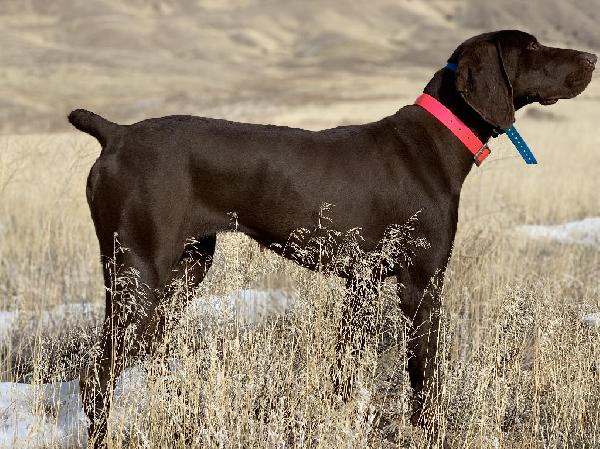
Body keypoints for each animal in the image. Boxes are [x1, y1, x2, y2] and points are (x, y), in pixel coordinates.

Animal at [69, 29, 596, 446]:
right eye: (532, 48)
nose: (592, 59)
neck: (435, 144)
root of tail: (116, 135)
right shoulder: (421, 283)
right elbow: (424, 376)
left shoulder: (362, 283)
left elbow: (345, 373)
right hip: (139, 274)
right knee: (95, 374)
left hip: (181, 275)